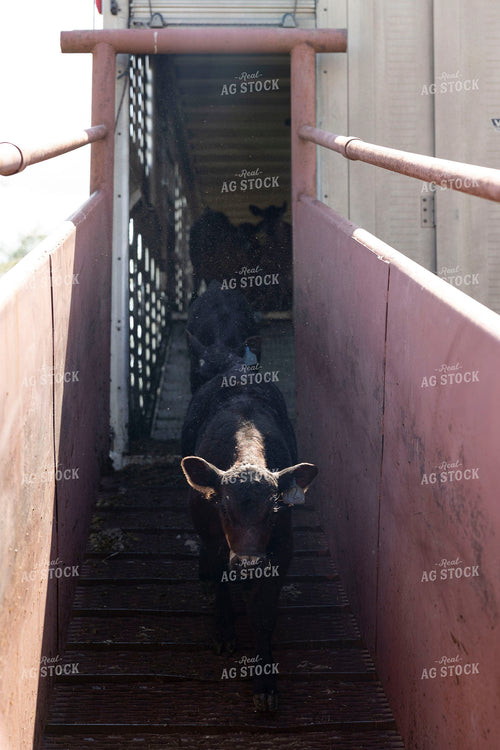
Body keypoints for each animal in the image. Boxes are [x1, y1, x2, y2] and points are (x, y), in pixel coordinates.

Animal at [181, 360, 317, 711]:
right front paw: (223, 632)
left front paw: (265, 682)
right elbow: (220, 582)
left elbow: (263, 615)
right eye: (224, 510)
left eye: (273, 511)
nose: (248, 564)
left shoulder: (281, 550)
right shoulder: (215, 539)